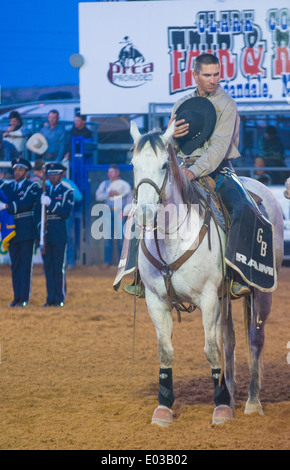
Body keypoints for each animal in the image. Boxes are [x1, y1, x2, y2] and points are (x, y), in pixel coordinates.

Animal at [130, 121, 284, 426]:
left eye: (165, 164)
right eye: (133, 164)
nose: (144, 214)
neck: (172, 240)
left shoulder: (208, 298)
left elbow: (211, 349)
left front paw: (221, 407)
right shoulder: (156, 301)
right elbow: (166, 350)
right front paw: (164, 408)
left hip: (262, 293)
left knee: (255, 339)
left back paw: (252, 401)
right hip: (226, 296)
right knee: (230, 339)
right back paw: (232, 393)